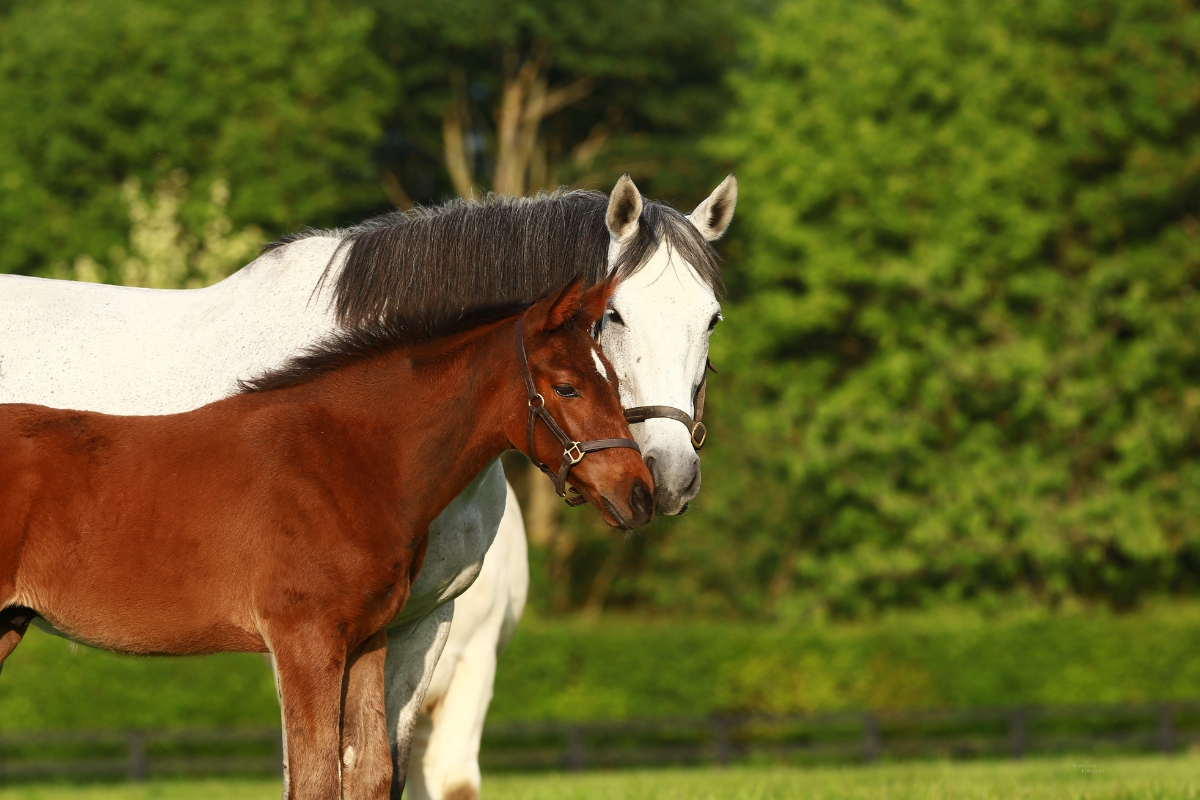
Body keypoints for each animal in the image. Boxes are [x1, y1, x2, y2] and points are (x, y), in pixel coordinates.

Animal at [0, 173, 737, 798]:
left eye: (713, 318)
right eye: (613, 321)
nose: (657, 483)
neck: (345, 449)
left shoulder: (400, 629)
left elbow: (377, 773)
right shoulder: (307, 641)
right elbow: (317, 777)